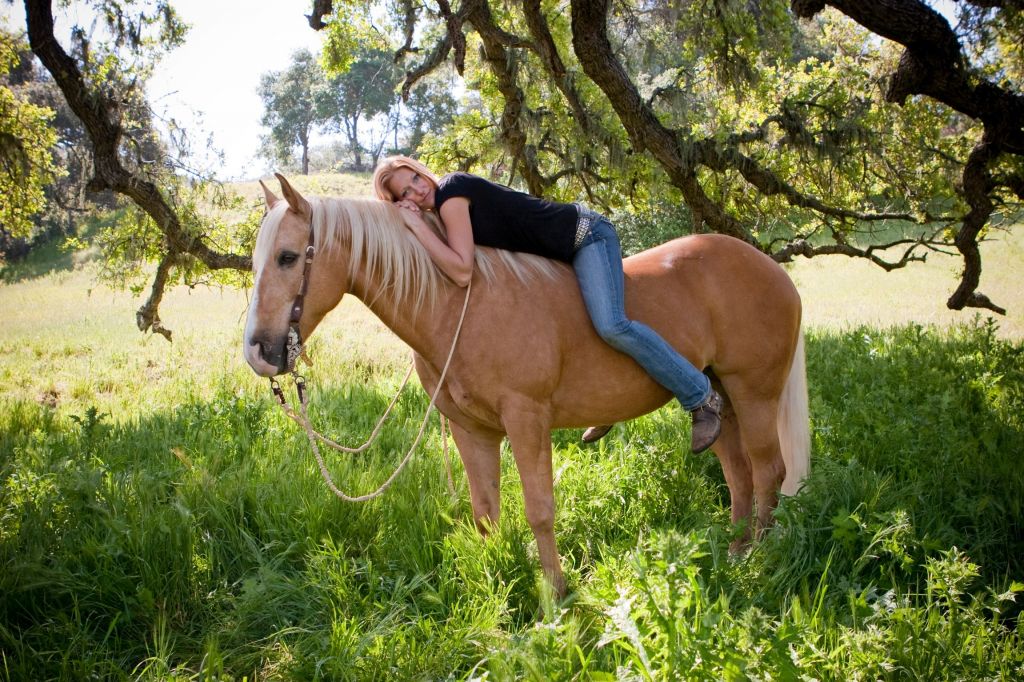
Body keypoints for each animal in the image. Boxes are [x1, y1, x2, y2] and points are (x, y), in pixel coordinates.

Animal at [241, 176, 806, 593]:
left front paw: (555, 594)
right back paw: (736, 551)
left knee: (768, 471)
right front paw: (498, 583)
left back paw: (765, 556)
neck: (459, 304)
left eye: (288, 257)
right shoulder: (471, 431)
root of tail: (772, 269)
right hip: (723, 398)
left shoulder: (527, 420)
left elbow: (539, 511)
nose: (259, 352)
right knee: (738, 474)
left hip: (755, 393)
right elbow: (486, 512)